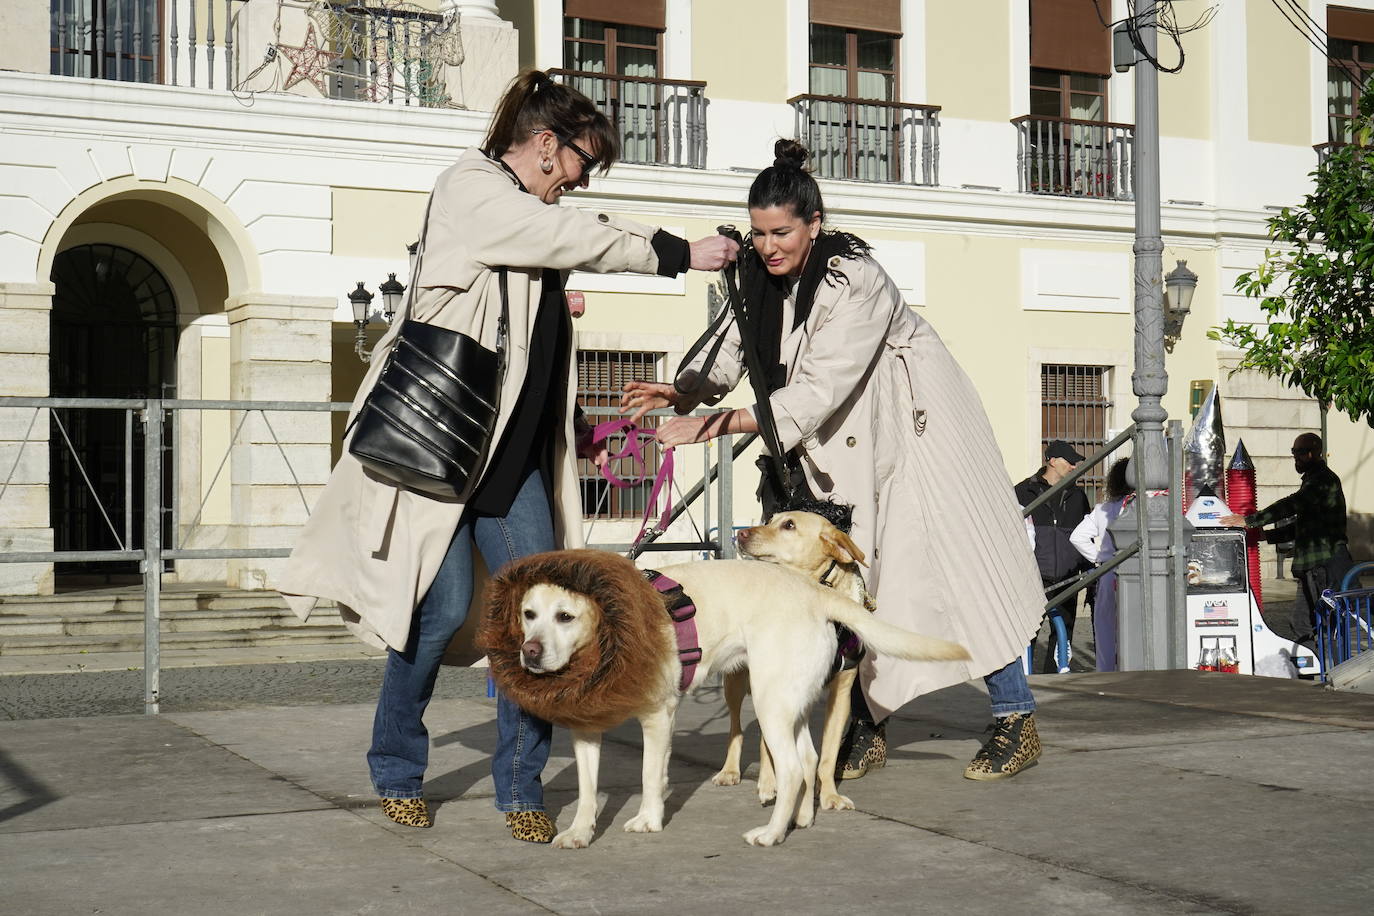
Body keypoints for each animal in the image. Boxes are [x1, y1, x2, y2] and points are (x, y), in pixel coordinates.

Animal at [480, 549, 967, 851]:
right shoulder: (586, 727)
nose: (529, 652)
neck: (609, 638)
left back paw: (771, 834)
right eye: (528, 615)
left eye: (566, 616)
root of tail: (813, 592)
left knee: (792, 770)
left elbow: (648, 774)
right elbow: (585, 790)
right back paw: (801, 820)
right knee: (809, 759)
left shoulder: (658, 717)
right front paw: (580, 833)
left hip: (771, 704)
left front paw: (649, 819)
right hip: (789, 703)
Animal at [719, 513, 868, 813]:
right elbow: (767, 744)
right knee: (736, 728)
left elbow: (828, 753)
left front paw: (829, 794)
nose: (741, 534)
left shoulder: (841, 693)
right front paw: (768, 784)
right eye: (770, 519)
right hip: (737, 682)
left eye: (789, 525)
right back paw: (733, 771)